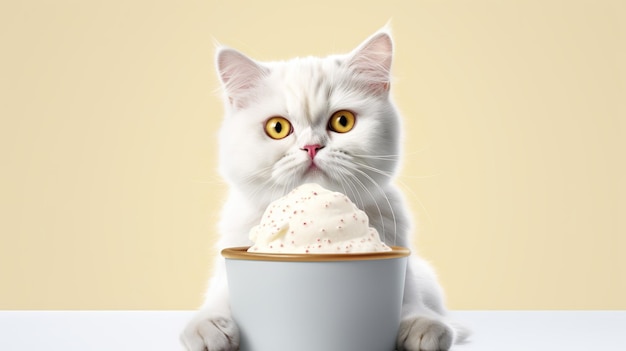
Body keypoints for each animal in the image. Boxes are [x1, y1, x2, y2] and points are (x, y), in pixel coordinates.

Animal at [178, 28, 466, 351]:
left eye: (342, 121)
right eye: (277, 128)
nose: (312, 147)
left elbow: (411, 307)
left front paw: (424, 328)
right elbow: (218, 300)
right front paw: (210, 328)